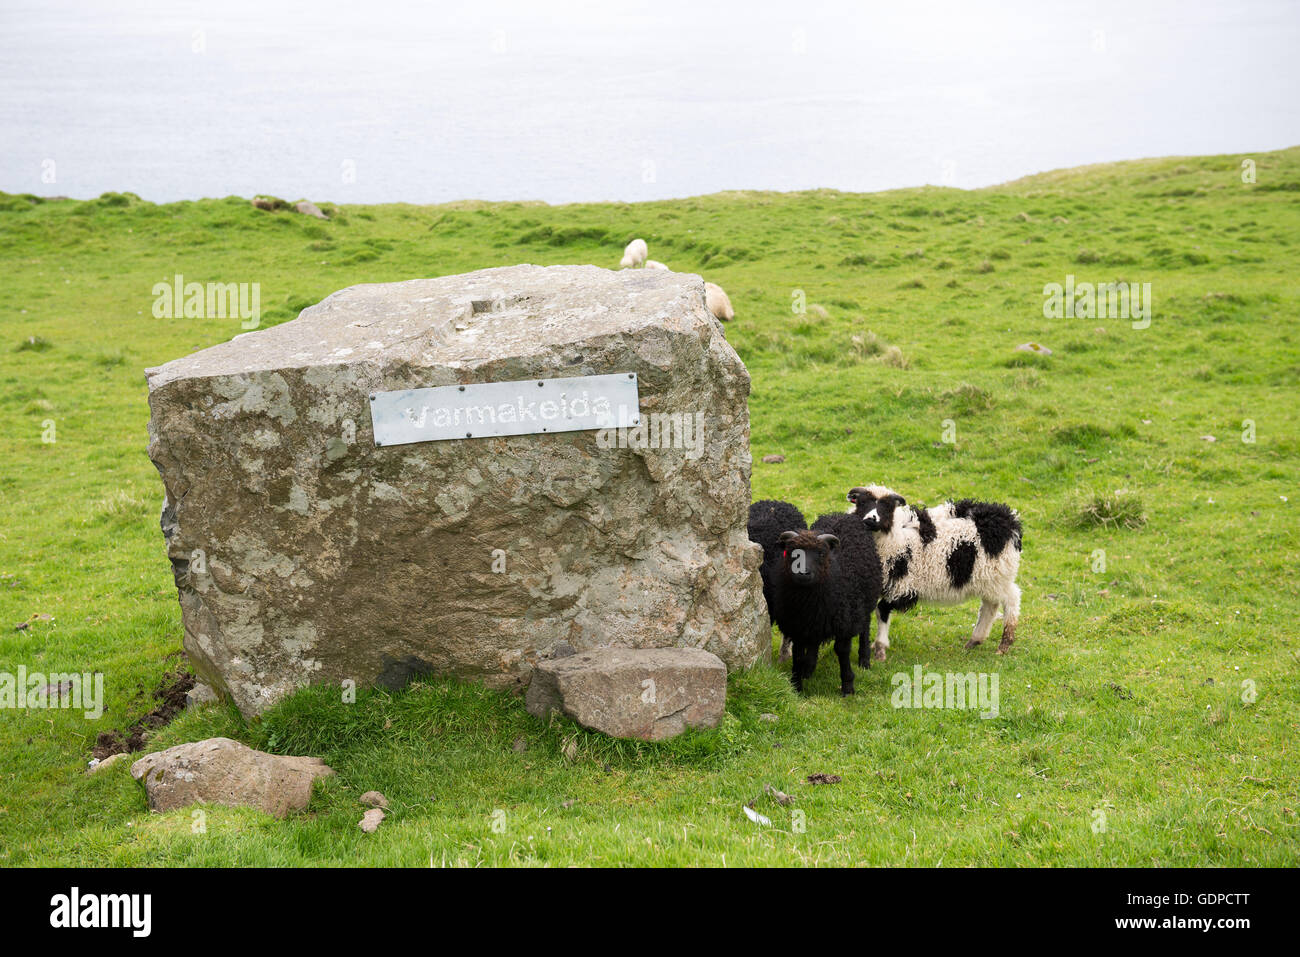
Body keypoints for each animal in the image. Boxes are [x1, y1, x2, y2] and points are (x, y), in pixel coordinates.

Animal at [769, 512, 883, 691]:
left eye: (821, 554)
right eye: (793, 552)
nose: (802, 572)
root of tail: (843, 515)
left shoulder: (844, 622)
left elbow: (842, 651)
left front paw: (848, 686)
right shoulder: (797, 626)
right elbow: (798, 655)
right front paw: (796, 685)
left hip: (863, 604)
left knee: (864, 629)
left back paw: (864, 660)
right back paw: (809, 669)